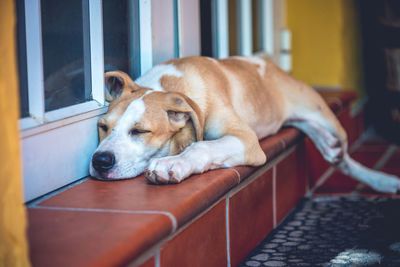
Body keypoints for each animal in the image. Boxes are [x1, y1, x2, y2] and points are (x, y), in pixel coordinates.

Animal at [90, 56, 400, 195]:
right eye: (102, 127)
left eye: (140, 131)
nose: (100, 161)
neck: (171, 84)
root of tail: (270, 62)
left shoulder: (246, 140)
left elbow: (202, 147)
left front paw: (172, 164)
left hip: (329, 120)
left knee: (346, 159)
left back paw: (382, 180)